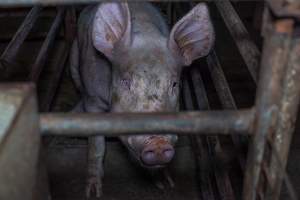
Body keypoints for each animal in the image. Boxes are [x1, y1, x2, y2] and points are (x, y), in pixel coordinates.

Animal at [70, 1, 214, 198]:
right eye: (125, 82)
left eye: (174, 84)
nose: (158, 143)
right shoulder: (93, 100)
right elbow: (96, 145)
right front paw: (93, 193)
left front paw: (166, 184)